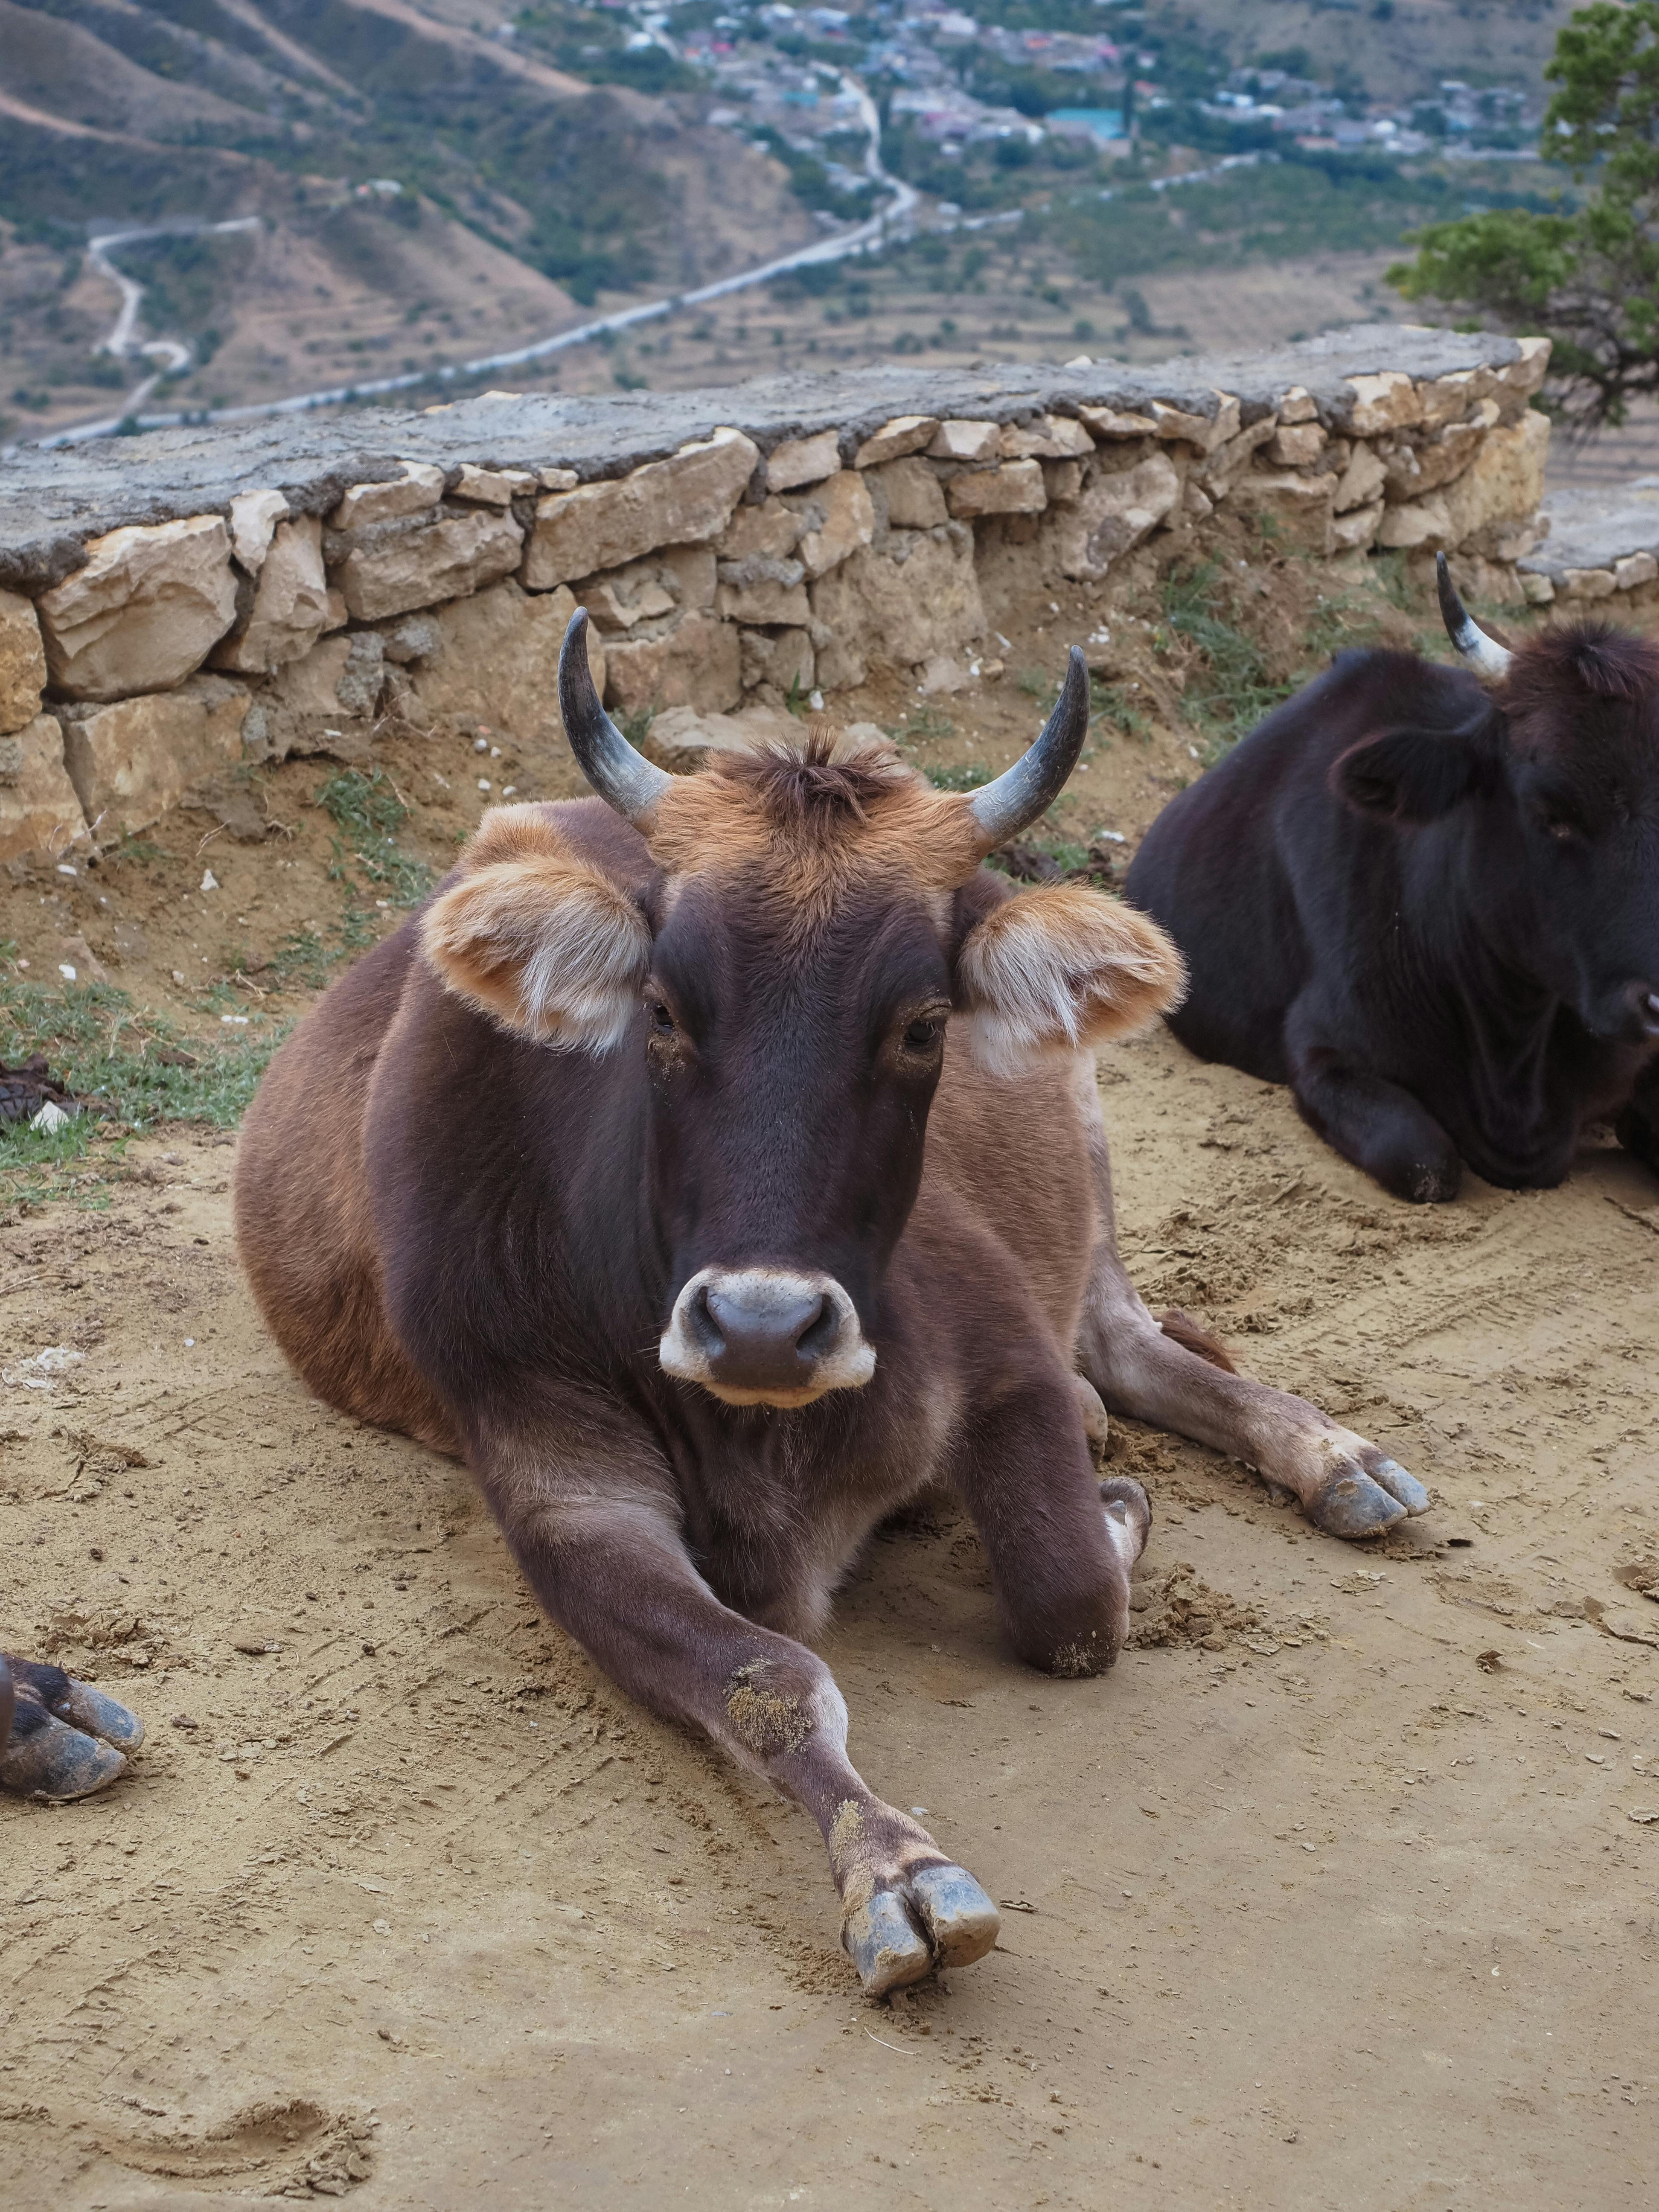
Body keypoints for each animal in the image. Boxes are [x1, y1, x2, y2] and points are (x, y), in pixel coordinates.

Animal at [233, 613, 1427, 1997]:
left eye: (923, 1023)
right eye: (661, 1011)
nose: (762, 1326)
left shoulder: (1005, 1351)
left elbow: (1070, 1597)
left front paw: (1118, 1513)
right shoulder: (560, 1490)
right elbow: (767, 1676)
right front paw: (895, 1872)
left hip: (1085, 1134)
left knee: (1134, 1349)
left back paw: (1331, 1455)